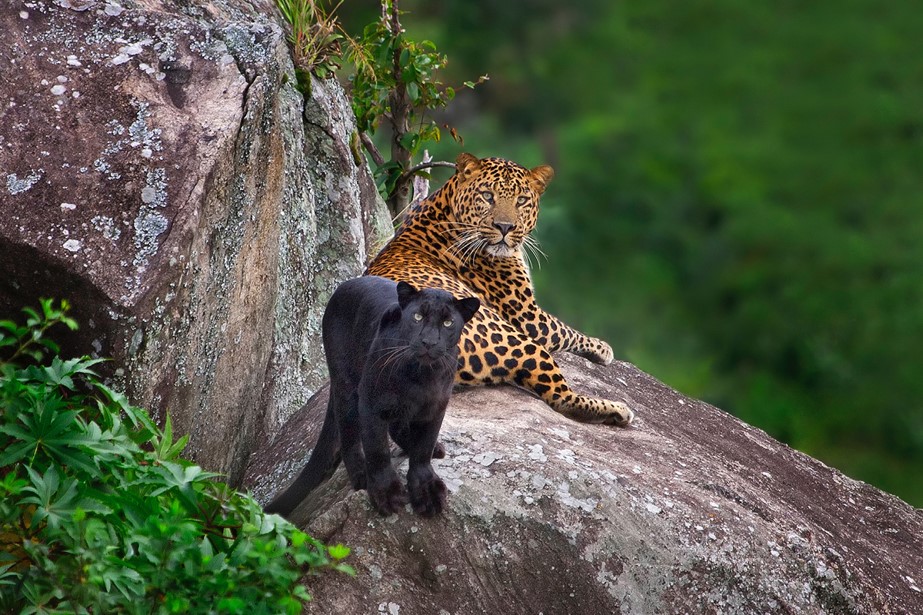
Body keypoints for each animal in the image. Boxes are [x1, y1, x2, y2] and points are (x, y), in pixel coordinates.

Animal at [364, 153, 632, 428]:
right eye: (487, 196)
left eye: (521, 200)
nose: (505, 227)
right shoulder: (529, 317)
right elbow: (565, 329)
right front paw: (602, 347)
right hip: (517, 340)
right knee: (562, 398)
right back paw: (617, 410)